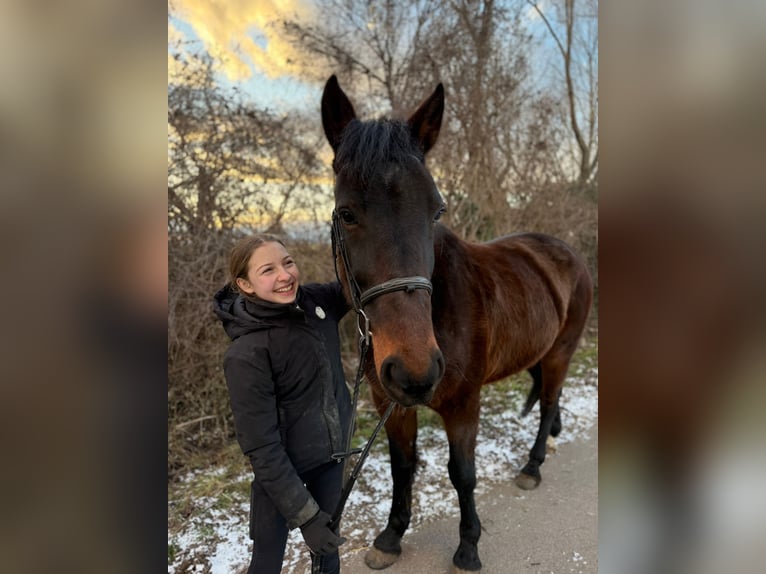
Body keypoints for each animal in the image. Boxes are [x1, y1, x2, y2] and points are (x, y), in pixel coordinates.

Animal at [321, 75, 593, 573]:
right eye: (347, 213)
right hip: (538, 349)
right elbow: (402, 467)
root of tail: (567, 252)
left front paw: (469, 545)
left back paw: (532, 466)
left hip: (562, 349)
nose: (416, 369)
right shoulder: (393, 403)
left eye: (436, 210)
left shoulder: (465, 404)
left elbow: (462, 474)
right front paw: (391, 536)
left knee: (547, 402)